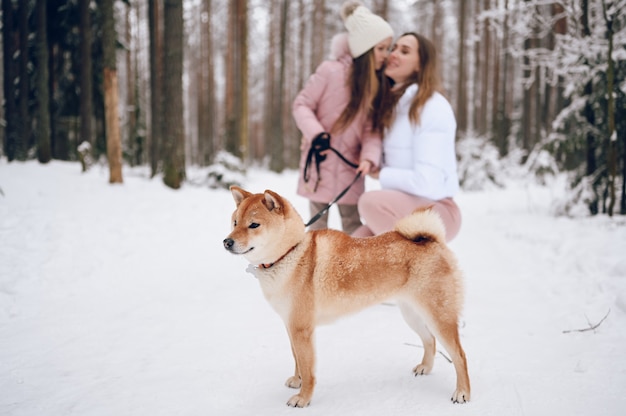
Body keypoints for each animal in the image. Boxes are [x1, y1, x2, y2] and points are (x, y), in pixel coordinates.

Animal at [223, 187, 468, 408]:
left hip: (439, 316)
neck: (290, 253)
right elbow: (297, 360)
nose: (227, 242)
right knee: (430, 340)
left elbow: (308, 369)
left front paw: (303, 398)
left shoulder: (302, 329)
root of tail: (431, 240)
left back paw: (463, 392)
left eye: (254, 225)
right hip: (412, 314)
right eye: (235, 222)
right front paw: (297, 381)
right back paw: (425, 367)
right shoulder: (291, 326)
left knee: (459, 355)